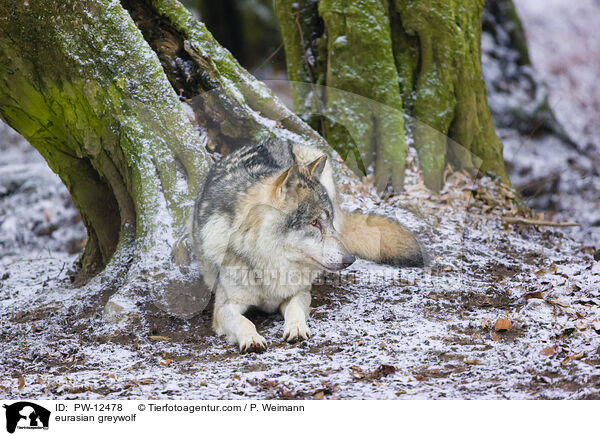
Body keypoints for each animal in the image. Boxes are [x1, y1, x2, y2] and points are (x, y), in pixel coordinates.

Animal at [192, 138, 422, 352]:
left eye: (328, 221)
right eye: (314, 223)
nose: (350, 260)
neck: (269, 261)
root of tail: (274, 139)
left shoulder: (299, 292)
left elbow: (295, 308)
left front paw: (296, 327)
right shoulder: (224, 307)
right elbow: (244, 321)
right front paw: (251, 338)